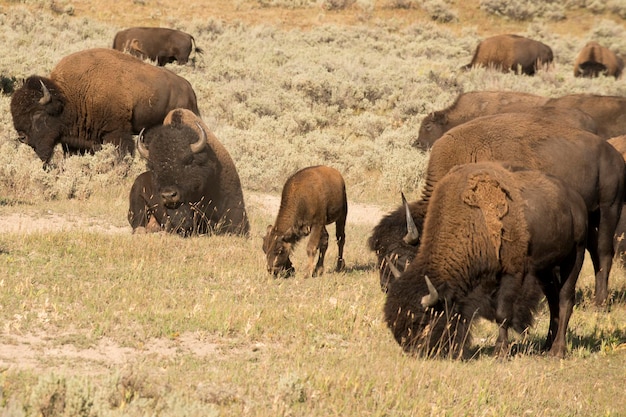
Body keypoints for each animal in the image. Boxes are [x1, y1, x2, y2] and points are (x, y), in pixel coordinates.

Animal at [10, 48, 200, 166]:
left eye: (37, 114)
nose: (22, 137)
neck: (69, 97)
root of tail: (189, 89)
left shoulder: (117, 132)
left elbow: (123, 154)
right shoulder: (73, 141)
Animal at [370, 112, 624, 304]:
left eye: (399, 255)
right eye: (379, 253)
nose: (386, 287)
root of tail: (616, 156)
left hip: (609, 209)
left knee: (604, 252)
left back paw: (600, 302)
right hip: (589, 217)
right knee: (594, 253)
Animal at [380, 160, 584, 358]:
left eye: (422, 321)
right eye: (393, 322)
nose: (415, 351)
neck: (473, 222)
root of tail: (575, 199)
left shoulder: (512, 274)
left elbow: (502, 314)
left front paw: (500, 352)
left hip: (575, 257)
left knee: (565, 300)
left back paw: (557, 351)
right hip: (545, 270)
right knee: (553, 302)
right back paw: (546, 346)